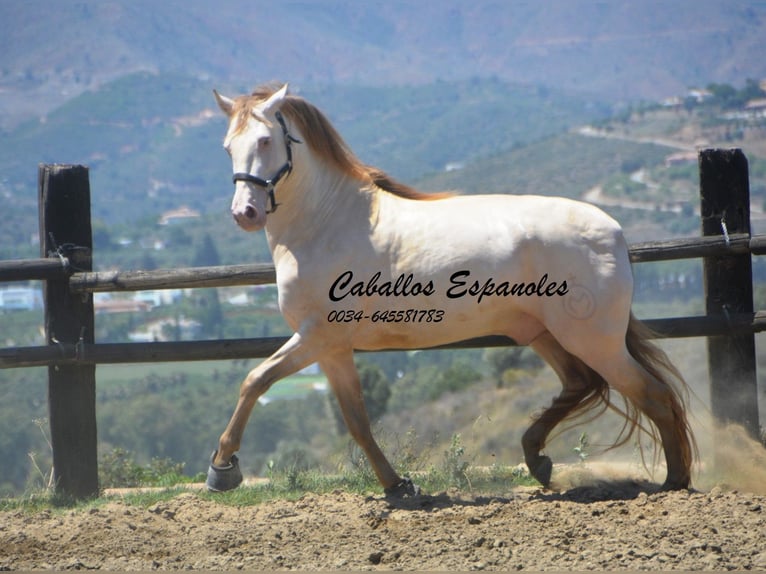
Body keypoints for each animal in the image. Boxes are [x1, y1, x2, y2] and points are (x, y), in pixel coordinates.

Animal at [207, 82, 700, 500]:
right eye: (228, 147)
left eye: (265, 140)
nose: (245, 213)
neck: (327, 222)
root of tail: (614, 232)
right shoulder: (332, 348)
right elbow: (358, 421)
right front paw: (398, 486)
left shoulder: (317, 336)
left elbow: (255, 381)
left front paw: (222, 469)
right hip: (540, 332)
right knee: (583, 383)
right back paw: (537, 459)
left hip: (593, 339)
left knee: (652, 394)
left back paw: (673, 482)